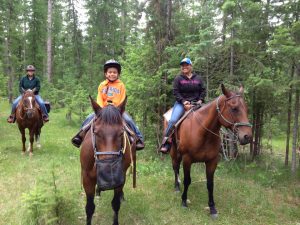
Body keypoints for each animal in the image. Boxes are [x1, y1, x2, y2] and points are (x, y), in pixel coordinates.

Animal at [79, 96, 136, 225]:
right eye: (95, 132)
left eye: (121, 132)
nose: (108, 175)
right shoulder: (86, 177)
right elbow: (89, 208)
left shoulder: (120, 178)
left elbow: (115, 204)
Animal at [168, 84, 252, 218]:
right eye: (234, 108)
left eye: (246, 108)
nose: (247, 136)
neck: (203, 132)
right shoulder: (187, 159)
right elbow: (187, 180)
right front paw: (184, 201)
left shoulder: (212, 161)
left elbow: (210, 184)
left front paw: (212, 208)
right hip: (174, 151)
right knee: (175, 167)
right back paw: (176, 187)